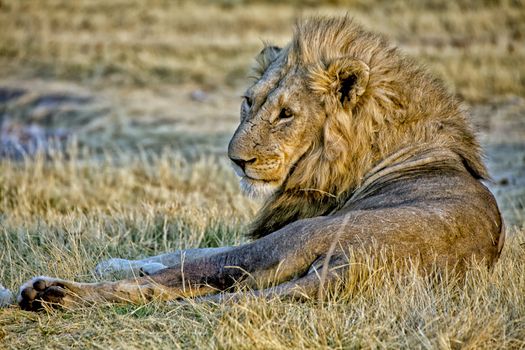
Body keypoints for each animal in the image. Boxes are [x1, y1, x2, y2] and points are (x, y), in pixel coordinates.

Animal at [16, 17, 504, 312]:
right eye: (249, 102)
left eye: (286, 114)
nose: (237, 160)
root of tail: (353, 268)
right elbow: (182, 250)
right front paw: (119, 260)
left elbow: (189, 254)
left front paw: (115, 267)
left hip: (287, 241)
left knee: (166, 285)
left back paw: (47, 292)